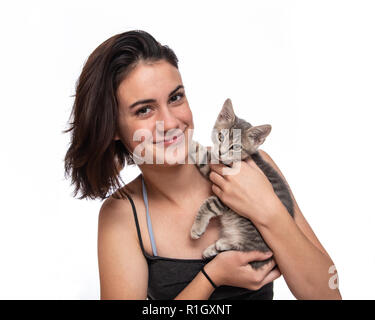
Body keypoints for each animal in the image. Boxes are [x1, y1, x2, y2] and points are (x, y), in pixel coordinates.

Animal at [189, 98, 296, 270]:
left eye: (236, 147)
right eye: (220, 136)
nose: (221, 152)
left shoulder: (227, 196)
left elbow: (208, 204)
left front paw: (197, 227)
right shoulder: (212, 167)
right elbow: (201, 153)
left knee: (245, 250)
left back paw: (222, 244)